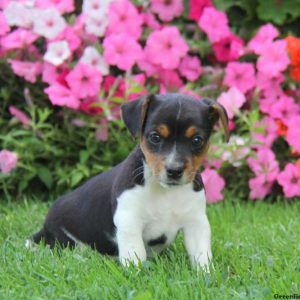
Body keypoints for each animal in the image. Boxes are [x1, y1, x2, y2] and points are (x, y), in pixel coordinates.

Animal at [28, 93, 230, 270]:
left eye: (197, 140)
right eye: (155, 137)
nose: (174, 170)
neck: (165, 192)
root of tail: (45, 228)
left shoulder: (196, 222)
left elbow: (201, 254)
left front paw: (206, 274)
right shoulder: (128, 218)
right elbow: (135, 252)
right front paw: (136, 273)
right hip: (68, 241)